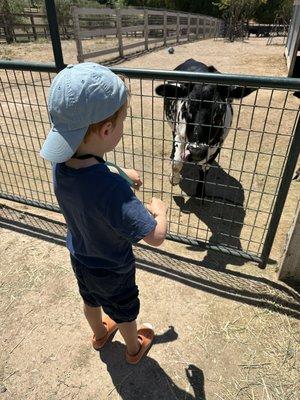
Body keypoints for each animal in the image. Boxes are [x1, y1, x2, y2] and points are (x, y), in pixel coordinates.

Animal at [156, 57, 256, 197]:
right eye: (187, 107)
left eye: (220, 110)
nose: (196, 152)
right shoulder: (180, 135)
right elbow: (177, 163)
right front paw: (174, 179)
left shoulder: (217, 144)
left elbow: (205, 167)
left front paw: (200, 191)